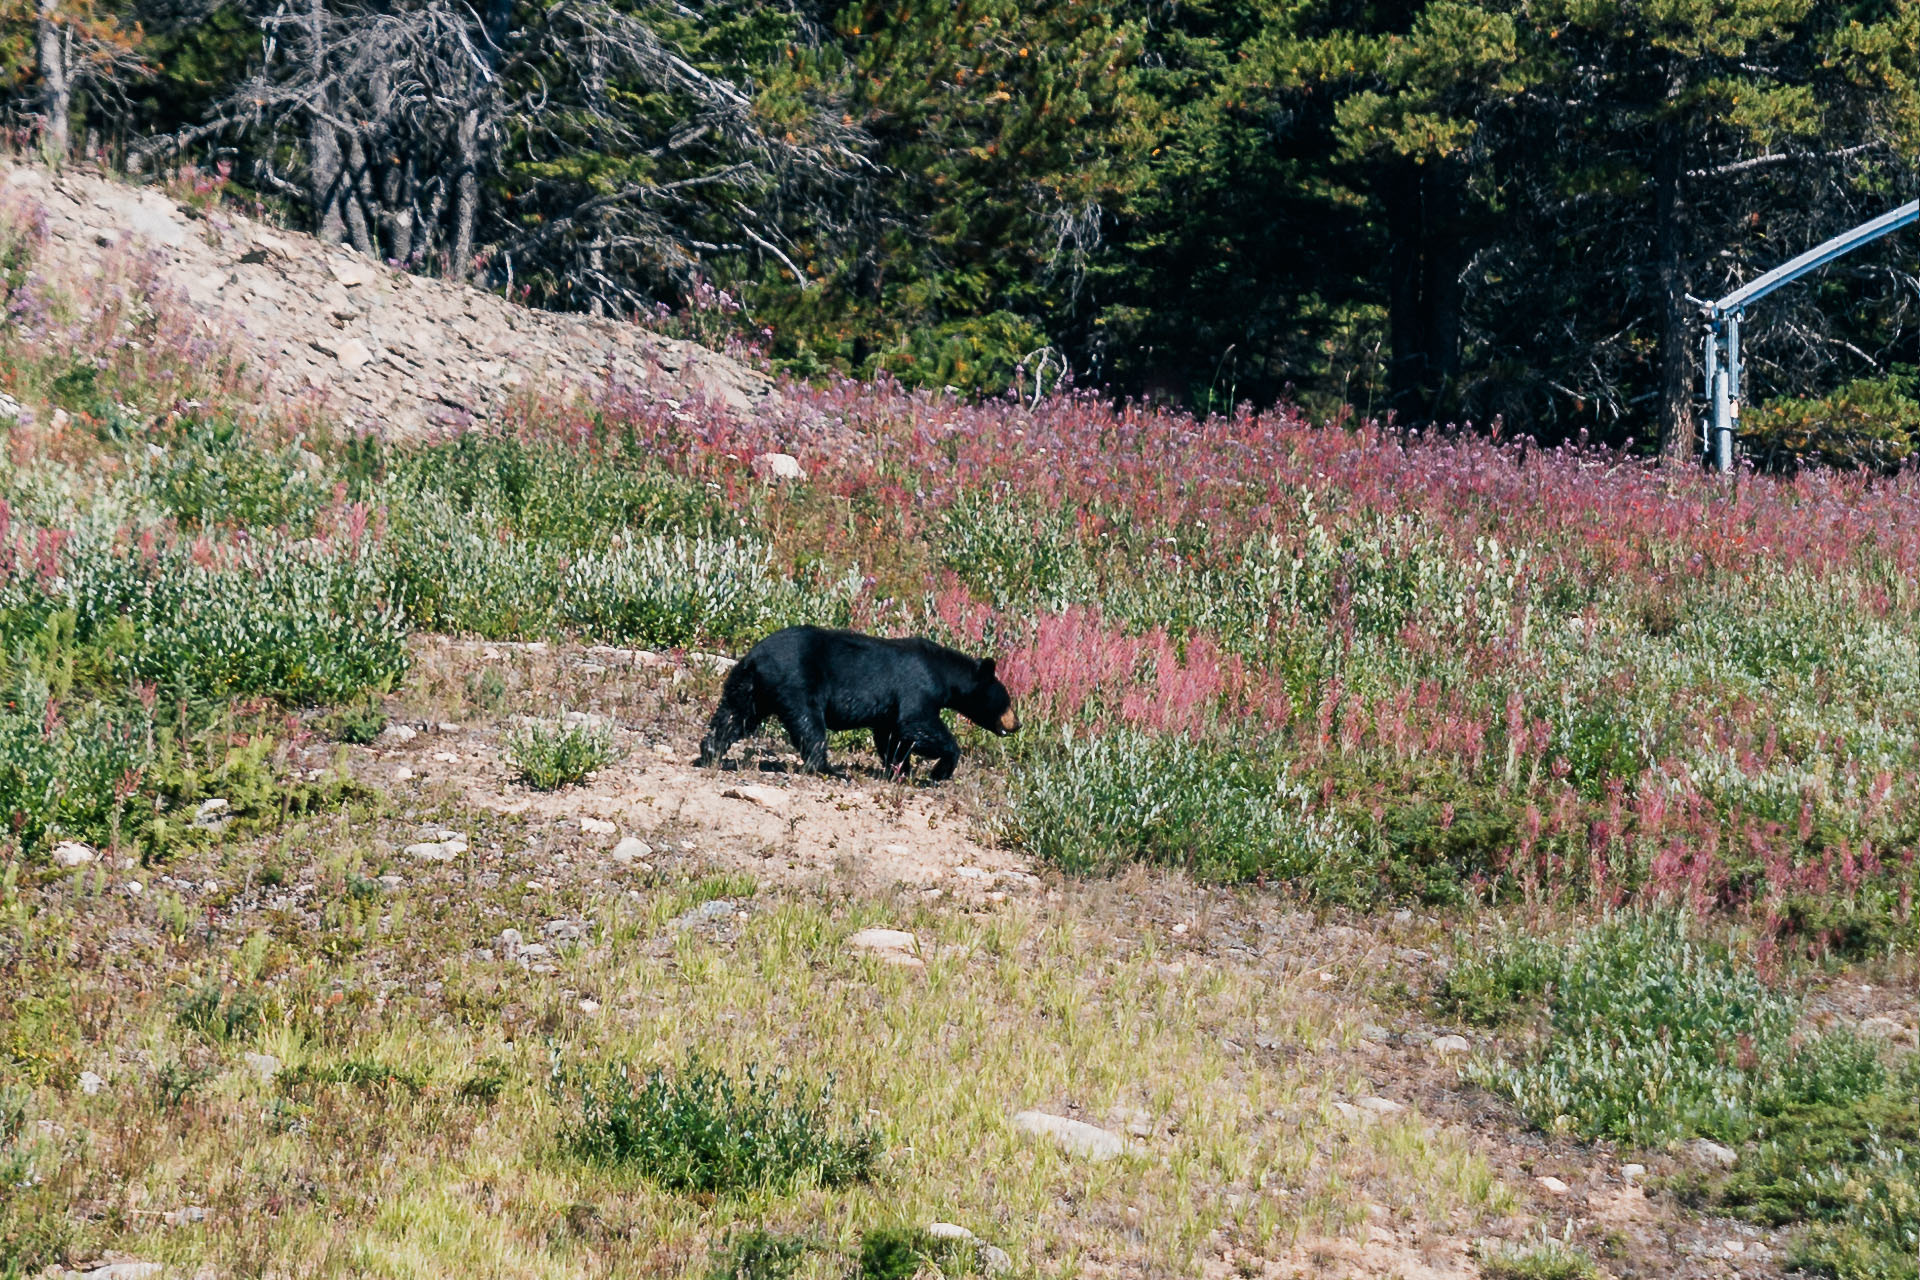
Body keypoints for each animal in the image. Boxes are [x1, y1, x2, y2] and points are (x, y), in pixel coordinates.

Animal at [695, 621, 1021, 782]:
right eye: (1006, 700)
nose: (1017, 724)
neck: (944, 672)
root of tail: (755, 658)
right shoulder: (917, 686)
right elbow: (916, 724)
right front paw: (940, 770)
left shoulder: (888, 708)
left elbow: (892, 736)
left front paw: (900, 770)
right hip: (797, 682)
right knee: (809, 725)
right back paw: (830, 769)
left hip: (748, 686)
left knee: (733, 715)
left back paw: (710, 750)